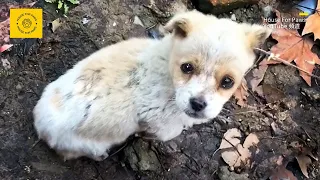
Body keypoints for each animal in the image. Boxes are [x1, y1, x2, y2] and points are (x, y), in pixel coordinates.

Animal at [33, 10, 272, 161]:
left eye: (227, 81)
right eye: (187, 67)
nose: (197, 104)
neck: (168, 71)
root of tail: (39, 123)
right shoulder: (159, 121)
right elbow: (169, 132)